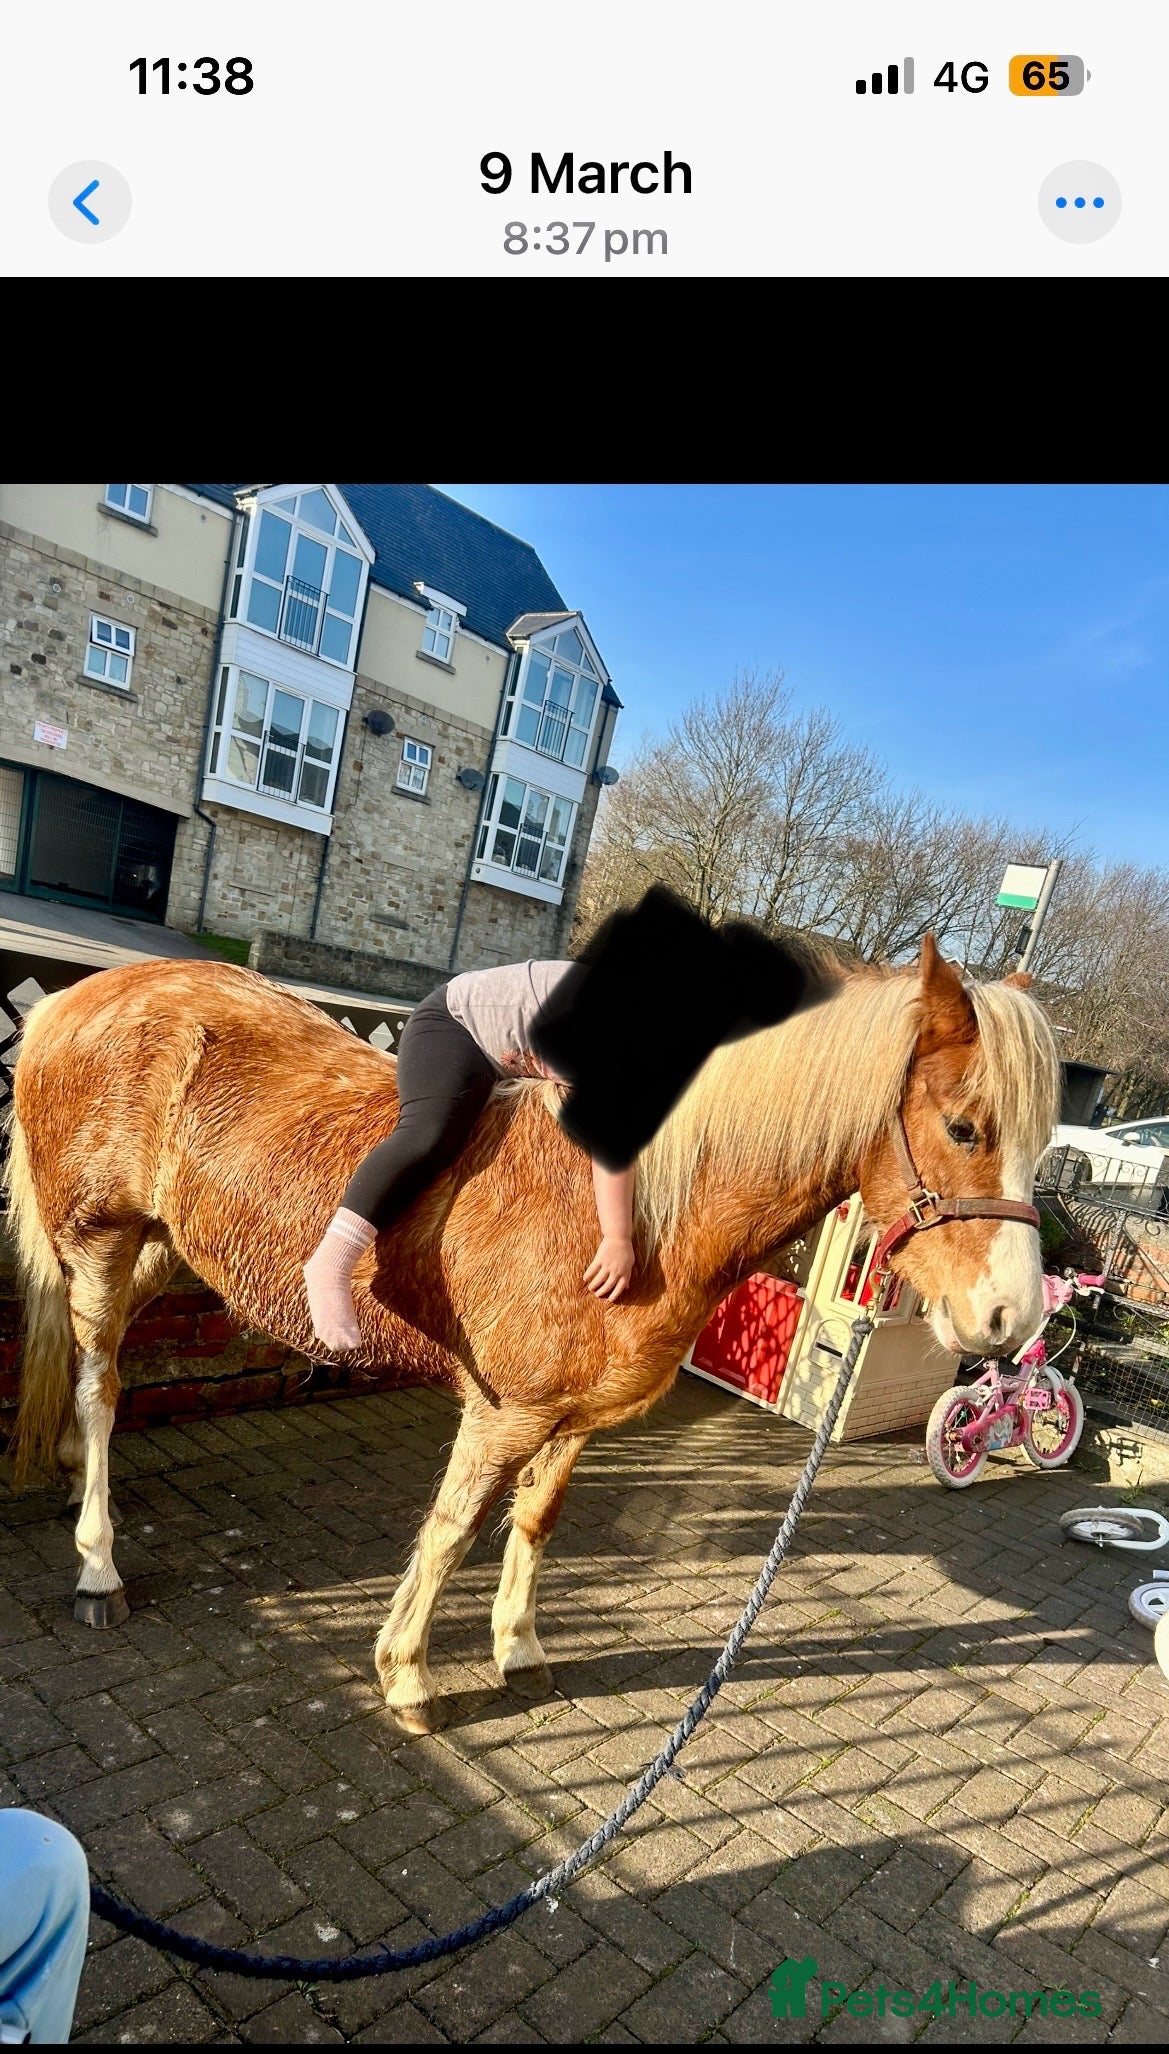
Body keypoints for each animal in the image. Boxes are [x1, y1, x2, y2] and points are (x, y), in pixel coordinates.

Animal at [3, 935, 1058, 1731]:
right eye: (963, 1128)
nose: (1009, 1319)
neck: (644, 1214)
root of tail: (82, 999)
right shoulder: (504, 1413)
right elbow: (453, 1531)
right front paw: (407, 1675)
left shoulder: (572, 1419)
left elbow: (537, 1522)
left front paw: (518, 1648)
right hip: (100, 1240)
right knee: (101, 1388)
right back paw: (98, 1562)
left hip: (154, 1246)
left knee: (96, 1375)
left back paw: (73, 1477)